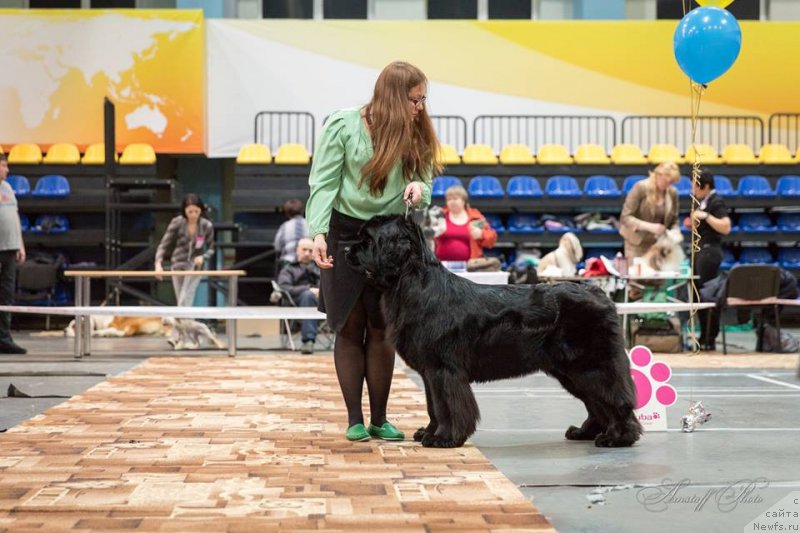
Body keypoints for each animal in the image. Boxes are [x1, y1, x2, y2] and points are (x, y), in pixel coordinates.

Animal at [346, 214, 644, 446]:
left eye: (368, 240)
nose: (346, 251)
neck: (413, 282)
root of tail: (599, 294)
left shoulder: (444, 369)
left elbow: (447, 405)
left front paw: (444, 438)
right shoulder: (430, 372)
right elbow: (434, 406)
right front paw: (427, 433)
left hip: (591, 365)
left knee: (614, 398)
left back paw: (618, 437)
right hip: (570, 371)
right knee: (595, 402)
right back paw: (585, 432)